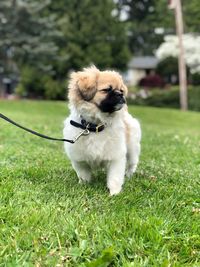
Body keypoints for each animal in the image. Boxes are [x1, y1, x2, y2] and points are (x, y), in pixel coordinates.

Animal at [63, 66, 141, 197]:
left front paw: (114, 193)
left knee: (132, 164)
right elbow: (83, 174)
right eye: (106, 90)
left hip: (132, 149)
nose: (120, 94)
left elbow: (114, 178)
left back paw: (129, 175)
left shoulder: (116, 158)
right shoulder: (79, 159)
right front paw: (84, 185)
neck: (95, 126)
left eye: (121, 90)